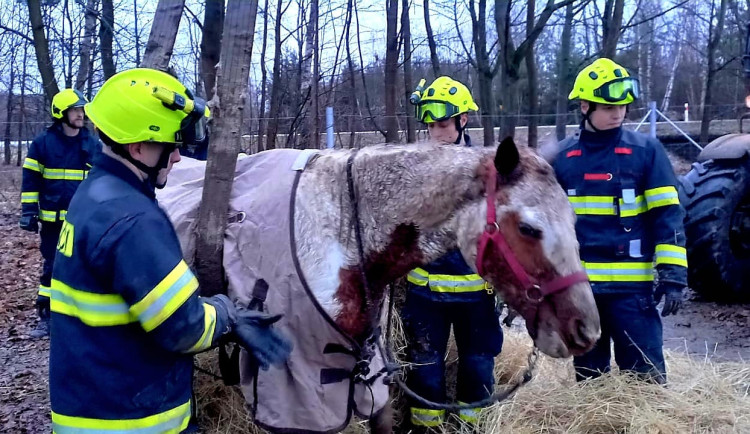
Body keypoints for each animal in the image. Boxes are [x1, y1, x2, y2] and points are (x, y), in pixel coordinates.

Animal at [157, 138, 600, 434]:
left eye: (575, 220)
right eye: (528, 228)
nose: (585, 331)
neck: (341, 230)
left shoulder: (369, 368)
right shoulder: (295, 391)